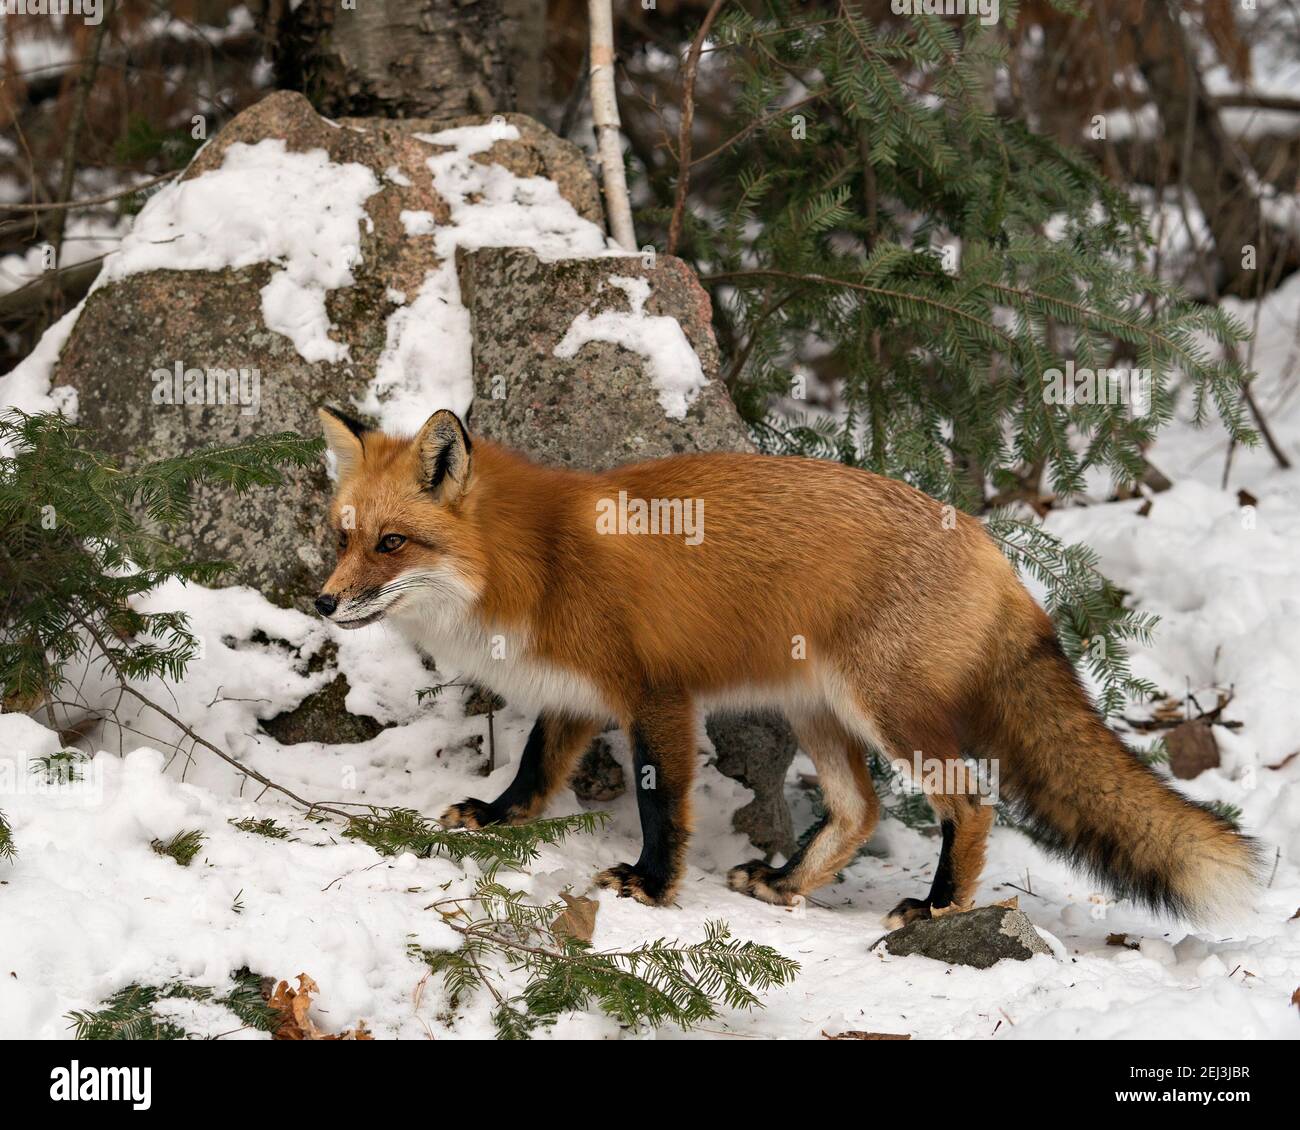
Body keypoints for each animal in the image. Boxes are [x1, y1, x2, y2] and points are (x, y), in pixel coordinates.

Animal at [314, 405, 1258, 925]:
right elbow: (535, 769)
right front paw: (496, 815)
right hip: (819, 710)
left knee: (970, 798)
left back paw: (939, 906)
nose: (322, 603)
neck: (536, 560)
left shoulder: (657, 693)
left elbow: (662, 806)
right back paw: (785, 882)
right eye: (342, 537)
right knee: (860, 808)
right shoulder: (577, 693)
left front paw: (651, 886)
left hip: (886, 710)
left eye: (393, 544)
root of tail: (992, 545)